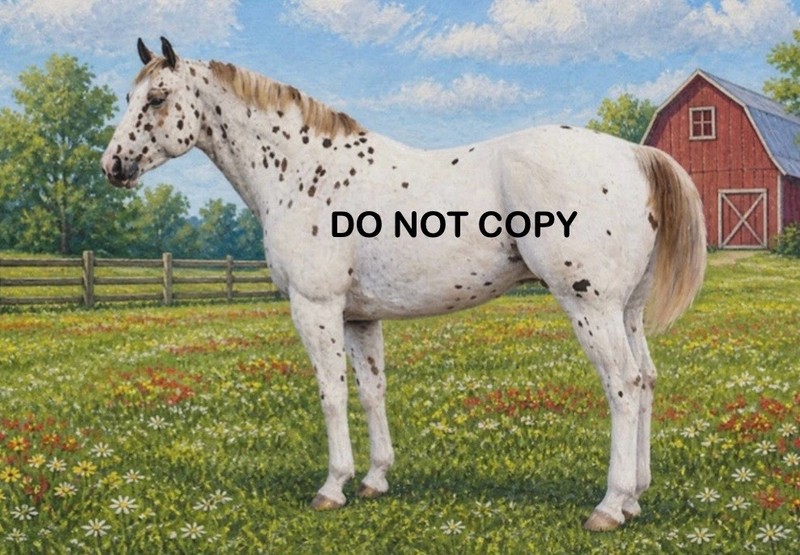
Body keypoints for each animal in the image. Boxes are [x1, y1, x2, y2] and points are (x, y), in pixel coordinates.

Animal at [102, 38, 706, 531]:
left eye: (157, 98)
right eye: (130, 97)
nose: (113, 165)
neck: (304, 172)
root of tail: (633, 154)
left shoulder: (316, 307)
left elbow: (331, 393)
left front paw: (332, 487)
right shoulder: (358, 316)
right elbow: (371, 390)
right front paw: (375, 479)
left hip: (591, 306)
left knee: (623, 386)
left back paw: (610, 506)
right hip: (626, 310)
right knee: (647, 380)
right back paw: (636, 497)